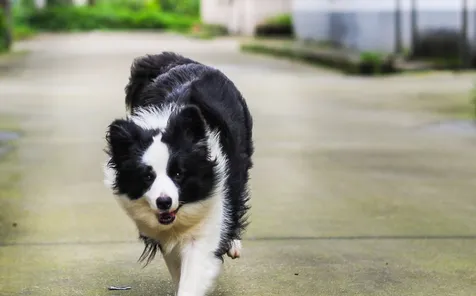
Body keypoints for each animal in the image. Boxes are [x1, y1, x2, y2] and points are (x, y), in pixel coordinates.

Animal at [102, 52, 255, 294]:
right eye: (147, 176)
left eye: (178, 174)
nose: (164, 202)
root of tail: (183, 61)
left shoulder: (209, 213)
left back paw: (233, 243)